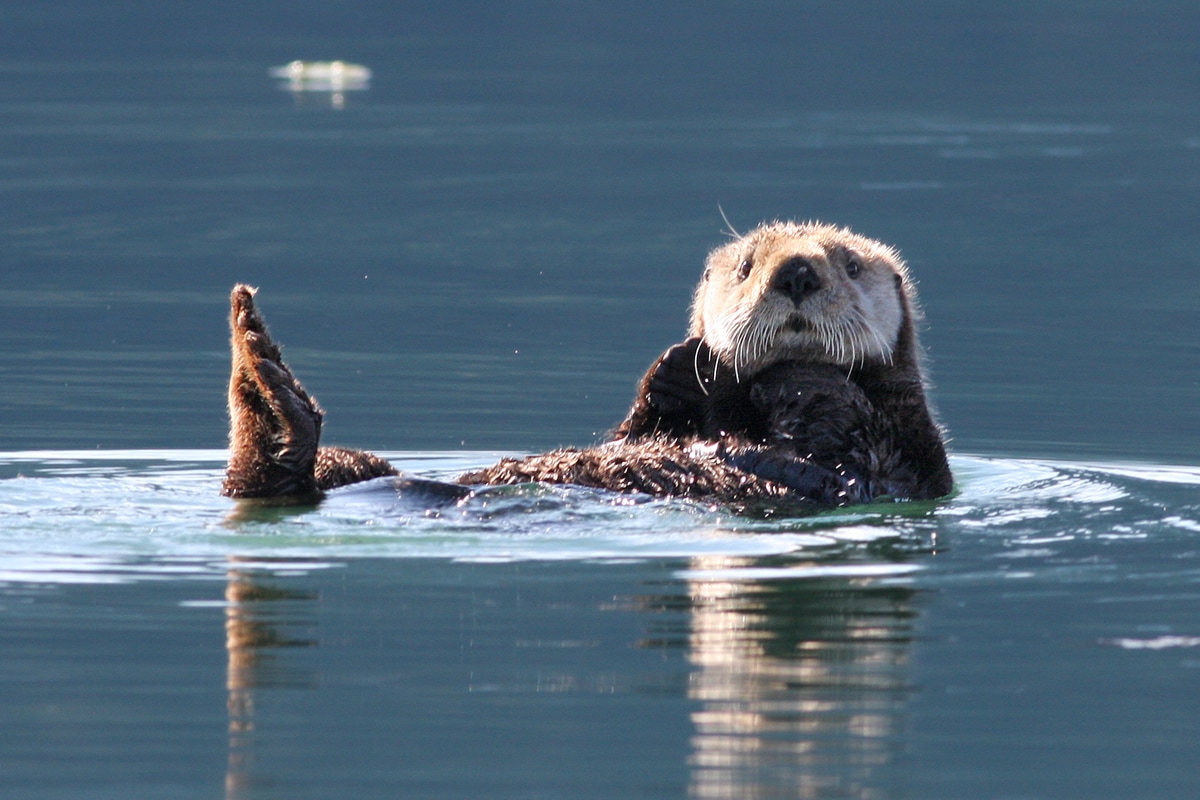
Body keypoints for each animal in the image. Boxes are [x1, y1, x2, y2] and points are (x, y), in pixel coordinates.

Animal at [220, 220, 950, 506]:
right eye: (746, 267)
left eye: (850, 265)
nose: (796, 272)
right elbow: (643, 426)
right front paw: (682, 364)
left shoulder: (905, 457)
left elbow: (849, 430)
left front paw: (797, 376)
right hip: (357, 468)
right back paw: (257, 359)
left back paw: (264, 376)